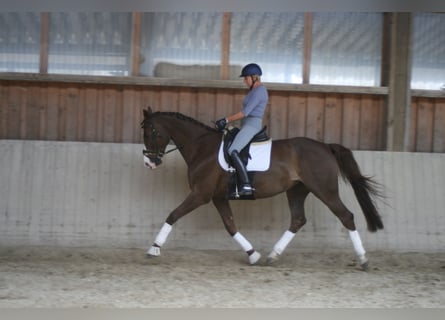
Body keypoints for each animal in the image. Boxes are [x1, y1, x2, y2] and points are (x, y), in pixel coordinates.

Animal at [140, 106, 384, 268]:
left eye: (151, 131)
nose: (149, 163)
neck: (201, 147)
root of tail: (325, 146)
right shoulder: (218, 197)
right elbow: (230, 226)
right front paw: (252, 254)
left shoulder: (201, 194)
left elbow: (173, 215)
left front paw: (154, 248)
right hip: (297, 190)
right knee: (298, 219)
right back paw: (273, 255)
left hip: (324, 190)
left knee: (346, 216)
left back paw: (363, 259)